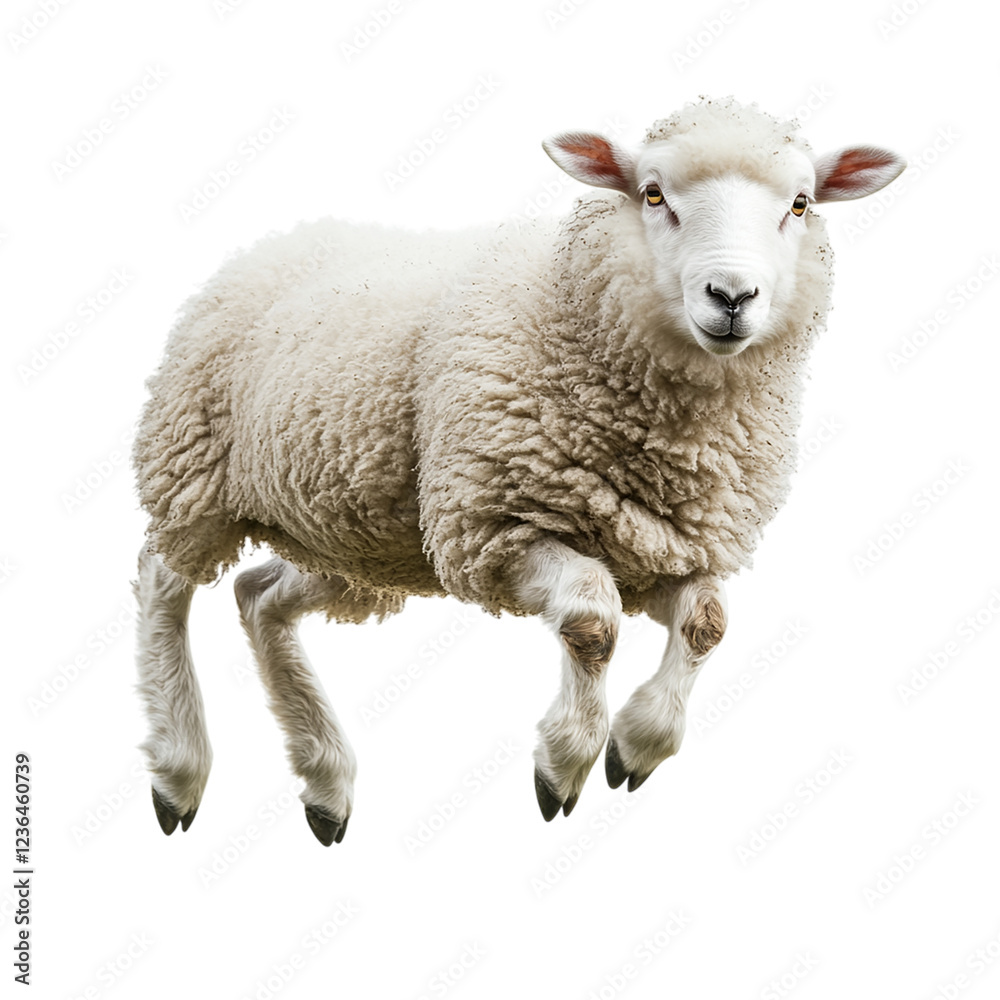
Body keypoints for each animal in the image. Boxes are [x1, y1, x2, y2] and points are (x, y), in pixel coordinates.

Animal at [133, 97, 905, 845]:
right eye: (653, 194)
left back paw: (325, 785)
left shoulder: (662, 549)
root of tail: (276, 240)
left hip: (359, 540)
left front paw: (637, 746)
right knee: (162, 581)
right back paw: (179, 771)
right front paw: (566, 762)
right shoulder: (495, 530)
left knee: (259, 596)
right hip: (194, 472)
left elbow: (706, 625)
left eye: (800, 204)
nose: (733, 296)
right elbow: (593, 619)